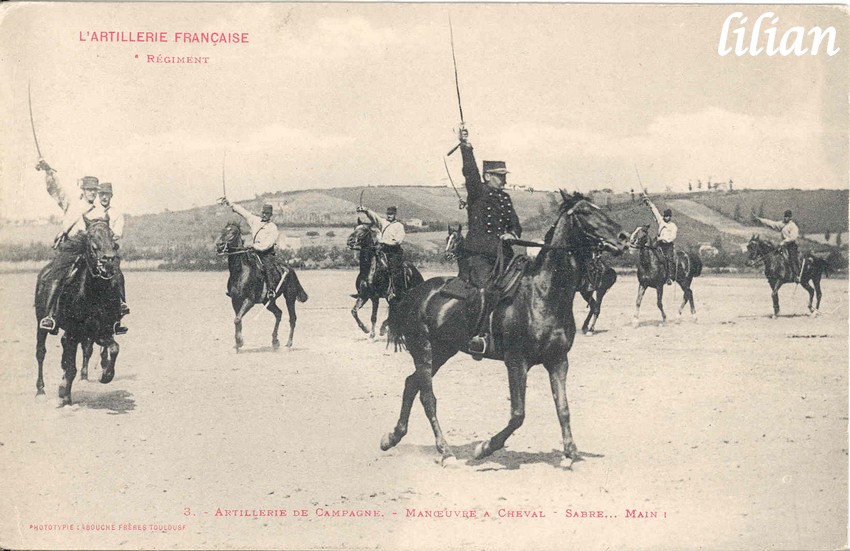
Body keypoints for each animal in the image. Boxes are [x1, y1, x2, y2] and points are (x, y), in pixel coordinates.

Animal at [34, 220, 122, 406]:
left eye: (112, 235)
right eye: (90, 236)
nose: (108, 259)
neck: (92, 294)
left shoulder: (99, 332)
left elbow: (113, 348)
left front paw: (106, 376)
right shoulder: (75, 332)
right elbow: (71, 367)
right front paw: (66, 397)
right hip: (40, 324)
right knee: (40, 353)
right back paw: (40, 390)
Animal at [215, 222, 308, 352]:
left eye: (232, 233)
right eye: (222, 230)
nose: (219, 245)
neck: (241, 272)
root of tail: (290, 268)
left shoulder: (249, 300)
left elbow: (237, 319)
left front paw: (239, 342)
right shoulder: (235, 300)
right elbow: (238, 319)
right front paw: (238, 343)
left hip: (290, 297)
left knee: (292, 318)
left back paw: (288, 344)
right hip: (267, 301)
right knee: (278, 313)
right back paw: (275, 342)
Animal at [380, 192, 628, 468]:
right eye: (584, 212)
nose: (623, 238)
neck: (542, 294)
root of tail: (414, 294)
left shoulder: (558, 361)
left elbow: (563, 408)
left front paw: (569, 453)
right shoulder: (516, 362)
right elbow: (518, 414)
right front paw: (484, 448)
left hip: (443, 351)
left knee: (411, 384)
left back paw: (392, 437)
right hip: (424, 350)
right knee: (427, 397)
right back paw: (445, 451)